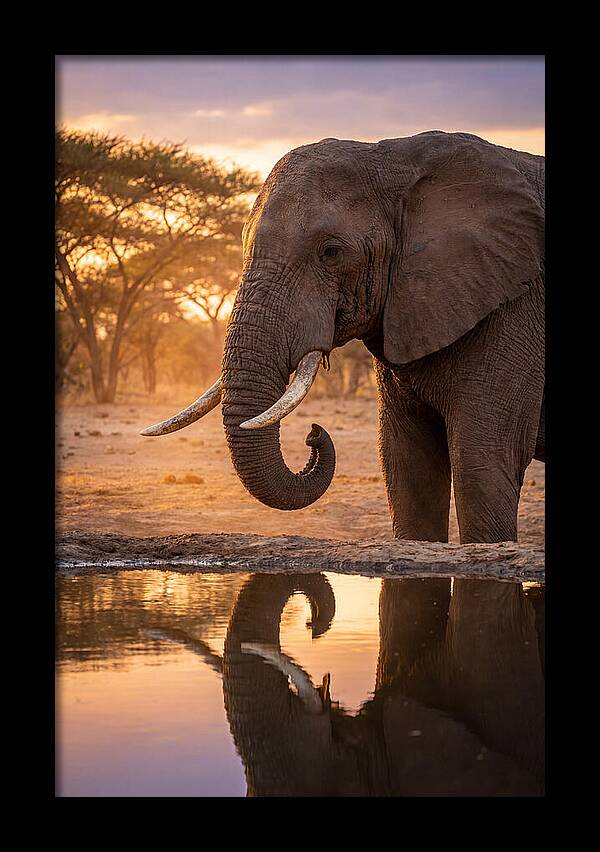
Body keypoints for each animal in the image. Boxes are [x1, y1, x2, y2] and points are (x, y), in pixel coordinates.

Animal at [143, 131, 545, 545]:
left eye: (331, 252)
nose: (314, 433)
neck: (398, 158)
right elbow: (407, 465)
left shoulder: (513, 306)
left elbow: (483, 462)